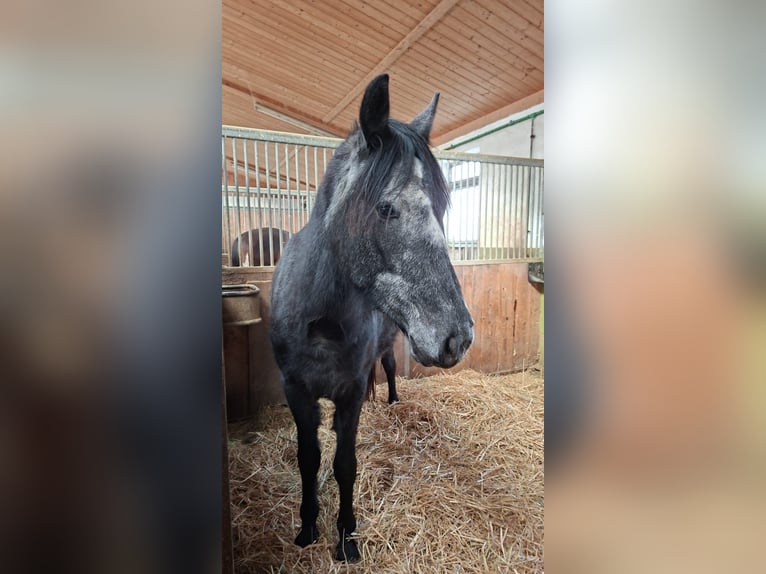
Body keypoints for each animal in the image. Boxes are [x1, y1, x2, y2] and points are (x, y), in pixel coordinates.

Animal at [269, 74, 474, 562]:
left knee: (392, 370)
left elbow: (345, 464)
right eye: (386, 208)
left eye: (442, 206)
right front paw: (307, 528)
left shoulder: (349, 392)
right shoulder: (296, 392)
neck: (321, 321)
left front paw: (346, 537)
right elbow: (309, 459)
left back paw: (394, 401)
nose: (458, 338)